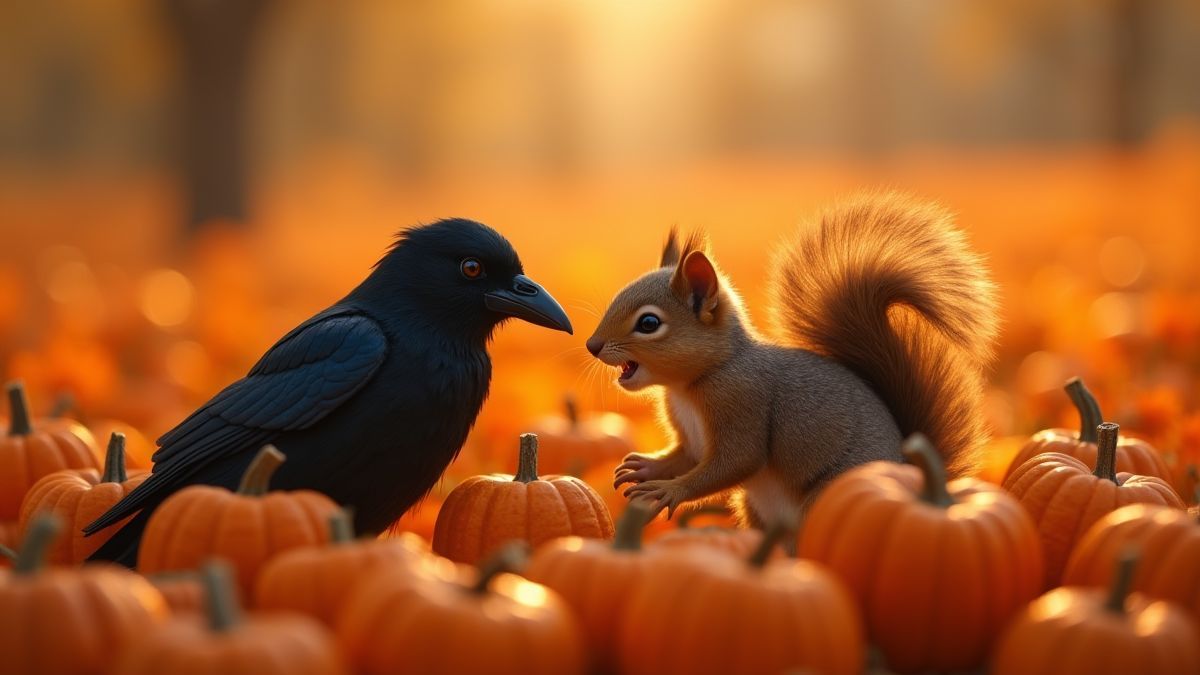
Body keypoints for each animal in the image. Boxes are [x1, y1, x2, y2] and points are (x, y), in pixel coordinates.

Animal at [584, 192, 998, 526]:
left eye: (649, 323)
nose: (592, 345)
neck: (691, 385)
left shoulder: (744, 403)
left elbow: (735, 461)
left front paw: (669, 490)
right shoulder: (692, 438)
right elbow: (686, 456)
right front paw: (646, 467)